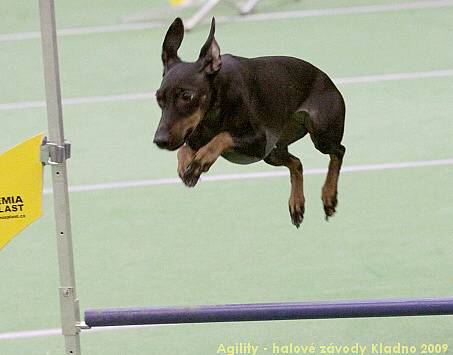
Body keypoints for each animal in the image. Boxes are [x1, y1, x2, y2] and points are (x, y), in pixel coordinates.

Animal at [154, 18, 344, 228]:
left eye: (187, 96)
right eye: (158, 98)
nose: (159, 140)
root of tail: (328, 80)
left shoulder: (260, 142)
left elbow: (222, 136)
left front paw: (202, 159)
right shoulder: (195, 136)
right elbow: (183, 149)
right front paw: (188, 166)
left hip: (319, 135)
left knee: (338, 151)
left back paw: (329, 195)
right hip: (273, 154)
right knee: (297, 163)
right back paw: (297, 203)